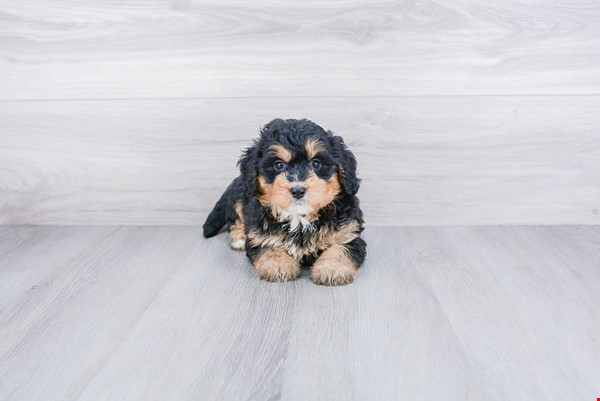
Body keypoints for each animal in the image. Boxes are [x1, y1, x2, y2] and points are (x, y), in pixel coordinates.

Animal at [204, 118, 366, 284]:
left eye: (316, 163)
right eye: (279, 164)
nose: (298, 190)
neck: (300, 219)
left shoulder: (348, 232)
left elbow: (340, 247)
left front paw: (331, 268)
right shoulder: (260, 231)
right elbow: (268, 244)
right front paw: (279, 265)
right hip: (239, 195)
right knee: (235, 219)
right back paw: (239, 237)